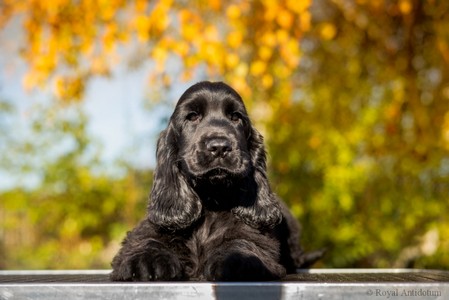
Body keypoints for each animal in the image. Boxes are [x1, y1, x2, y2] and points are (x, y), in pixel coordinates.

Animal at [109, 80, 318, 282]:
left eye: (236, 117)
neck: (211, 199)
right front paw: (147, 260)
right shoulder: (157, 224)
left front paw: (237, 260)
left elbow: (244, 240)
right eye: (192, 116)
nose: (219, 147)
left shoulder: (255, 236)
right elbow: (147, 238)